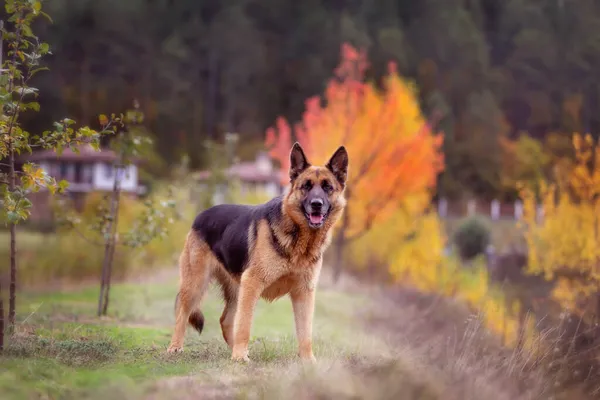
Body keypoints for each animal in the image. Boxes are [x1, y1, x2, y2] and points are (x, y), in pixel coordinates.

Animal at [166, 142, 350, 360]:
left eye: (327, 187)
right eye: (306, 186)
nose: (316, 205)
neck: (299, 238)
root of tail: (200, 215)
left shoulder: (304, 293)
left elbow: (305, 332)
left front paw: (308, 361)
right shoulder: (252, 283)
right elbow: (245, 324)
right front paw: (239, 358)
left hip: (236, 290)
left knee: (226, 320)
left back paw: (236, 351)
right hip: (197, 284)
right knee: (182, 314)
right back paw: (176, 347)